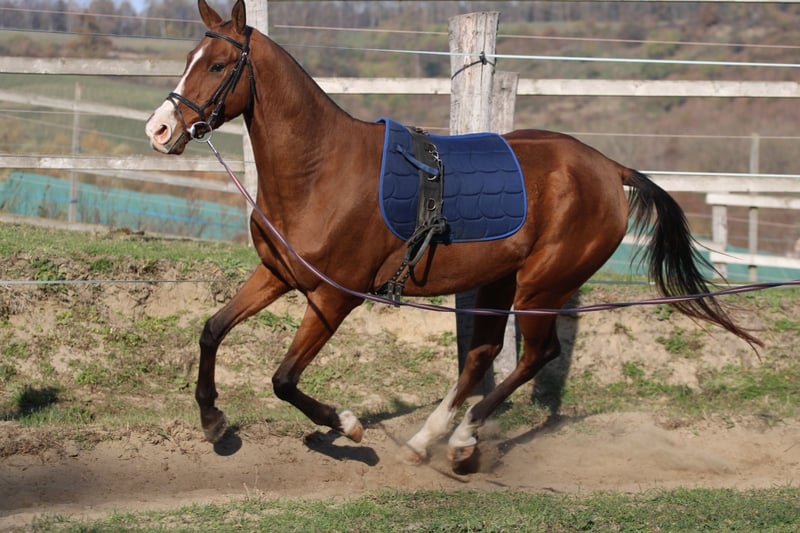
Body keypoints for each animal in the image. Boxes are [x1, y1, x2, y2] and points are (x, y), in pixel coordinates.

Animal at [145, 0, 759, 469]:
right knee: (482, 355)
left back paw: (462, 440)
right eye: (189, 59)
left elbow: (284, 379)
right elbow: (211, 331)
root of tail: (610, 168)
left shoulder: (335, 297)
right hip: (499, 281)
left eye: (219, 64)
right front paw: (213, 421)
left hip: (540, 288)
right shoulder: (277, 274)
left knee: (535, 355)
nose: (160, 129)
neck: (320, 170)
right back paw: (426, 440)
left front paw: (347, 426)